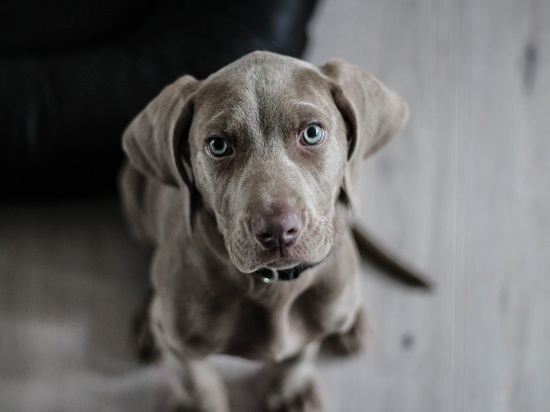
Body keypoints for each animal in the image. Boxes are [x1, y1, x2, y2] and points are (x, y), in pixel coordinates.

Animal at [122, 51, 414, 412]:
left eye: (312, 133)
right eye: (218, 145)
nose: (277, 230)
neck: (273, 287)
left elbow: (297, 356)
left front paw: (289, 391)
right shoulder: (180, 343)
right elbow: (194, 380)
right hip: (132, 194)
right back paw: (146, 325)